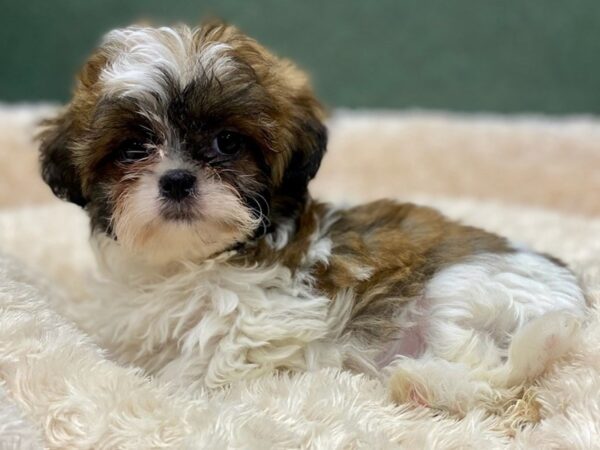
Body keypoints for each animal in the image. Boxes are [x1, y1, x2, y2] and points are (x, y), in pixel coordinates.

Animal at [38, 22, 584, 414]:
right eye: (133, 148)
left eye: (227, 142)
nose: (176, 180)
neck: (196, 259)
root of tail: (580, 309)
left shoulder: (269, 318)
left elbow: (210, 365)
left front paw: (173, 388)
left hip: (457, 287)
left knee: (499, 379)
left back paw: (423, 384)